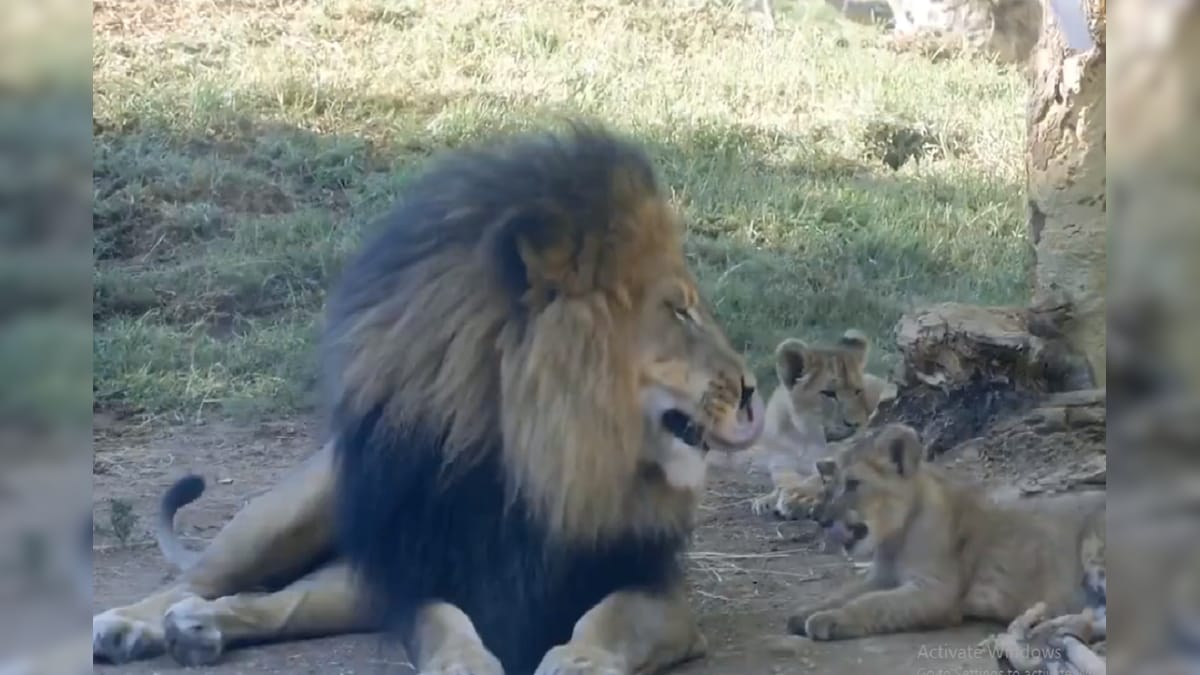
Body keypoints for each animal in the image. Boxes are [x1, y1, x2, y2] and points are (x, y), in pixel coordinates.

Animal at [93, 121, 768, 672]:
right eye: (679, 310)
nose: (753, 390)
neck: (554, 456)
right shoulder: (429, 570)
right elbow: (446, 623)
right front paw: (464, 665)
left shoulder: (654, 586)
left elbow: (609, 620)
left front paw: (578, 661)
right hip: (291, 515)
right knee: (205, 578)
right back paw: (132, 624)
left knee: (285, 600)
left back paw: (200, 629)